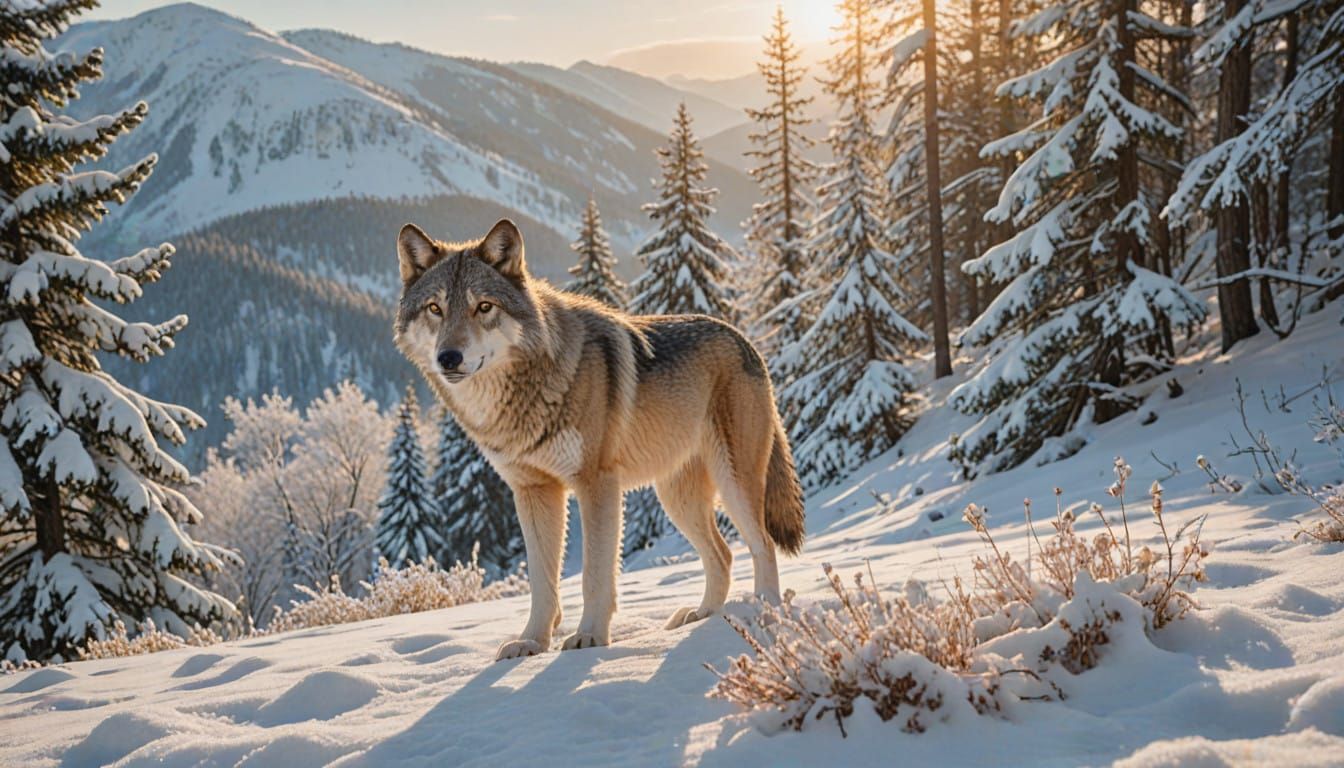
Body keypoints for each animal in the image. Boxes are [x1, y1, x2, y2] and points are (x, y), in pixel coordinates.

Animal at [394, 218, 805, 660]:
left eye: (483, 307)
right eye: (435, 308)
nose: (448, 358)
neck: (527, 393)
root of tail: (744, 339)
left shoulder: (597, 484)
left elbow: (594, 573)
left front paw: (589, 637)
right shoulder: (533, 491)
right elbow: (542, 582)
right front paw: (531, 642)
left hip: (733, 484)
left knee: (762, 544)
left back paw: (764, 612)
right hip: (677, 498)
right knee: (723, 555)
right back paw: (702, 616)